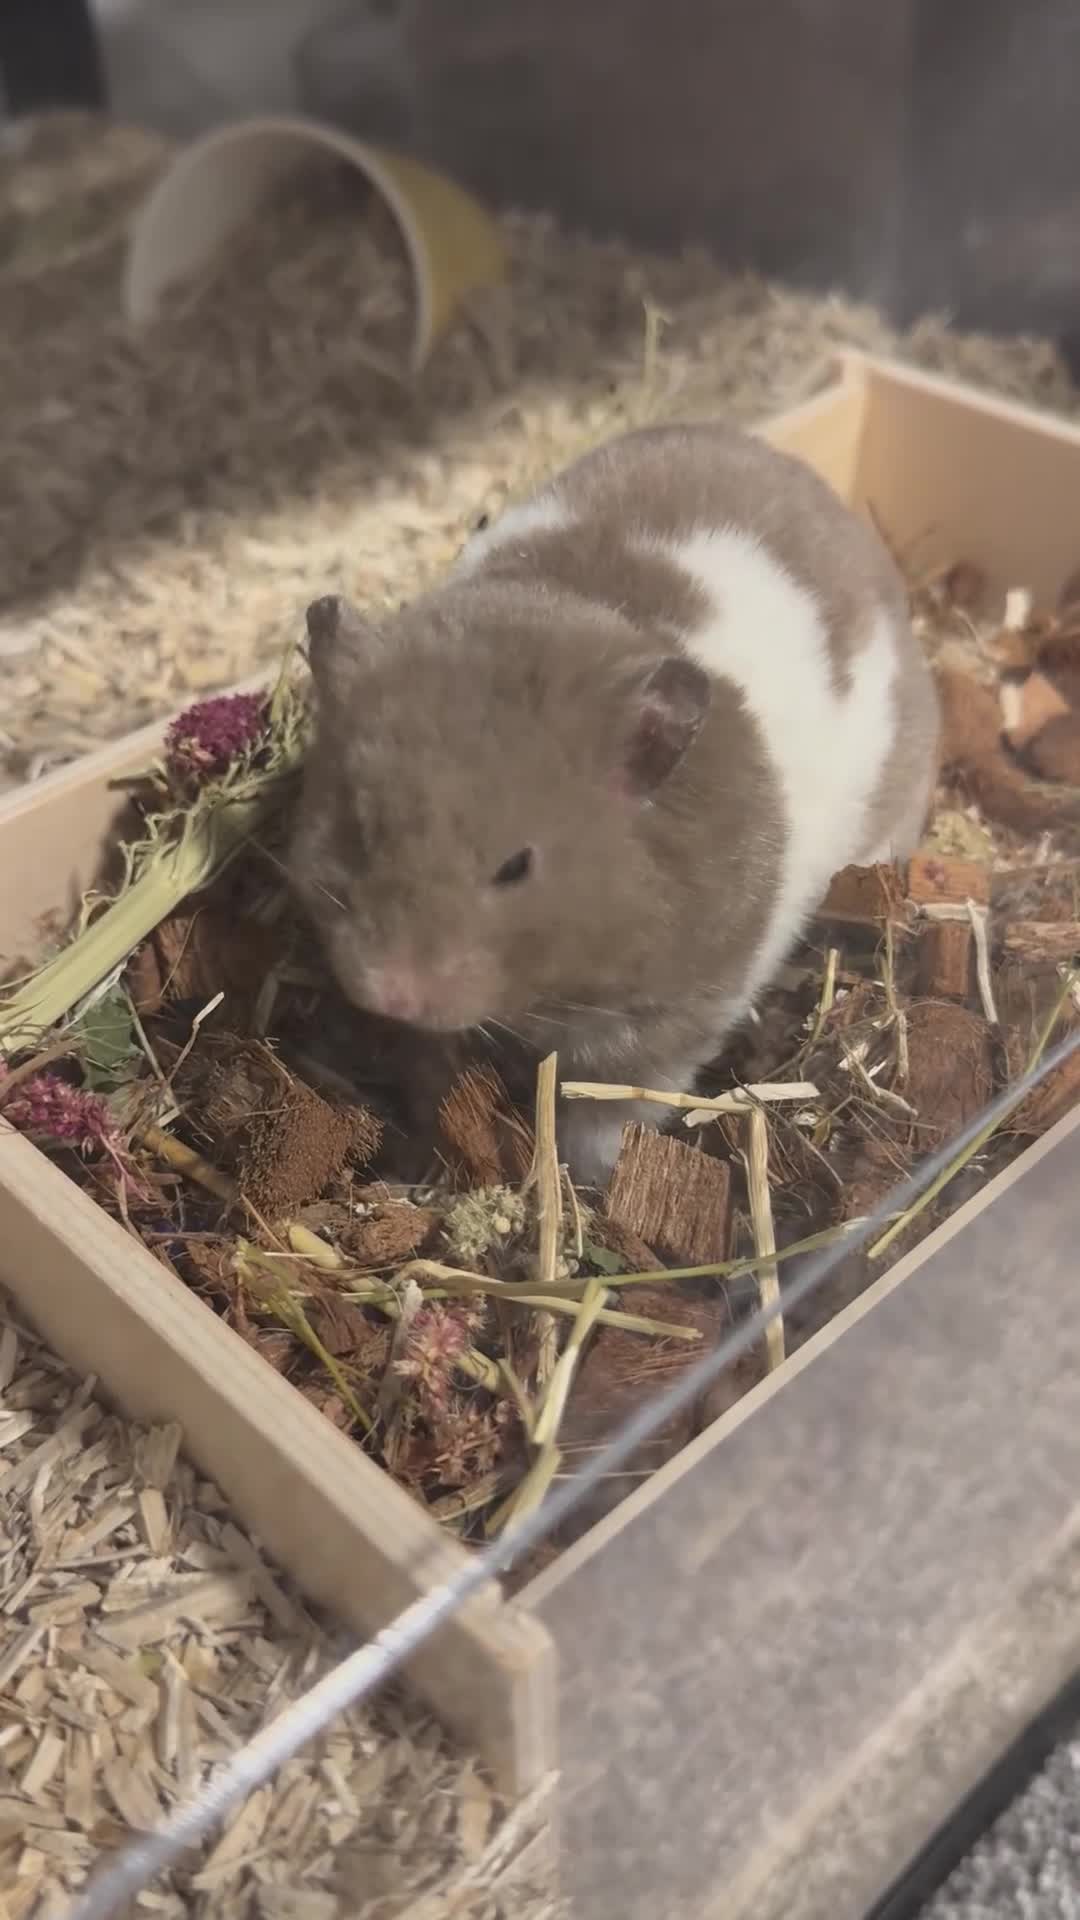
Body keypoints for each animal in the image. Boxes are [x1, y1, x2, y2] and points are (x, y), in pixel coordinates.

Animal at [289, 422, 940, 1186]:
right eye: (357, 831)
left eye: (516, 867)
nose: (388, 992)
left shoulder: (675, 1014)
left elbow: (611, 1102)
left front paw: (590, 1178)